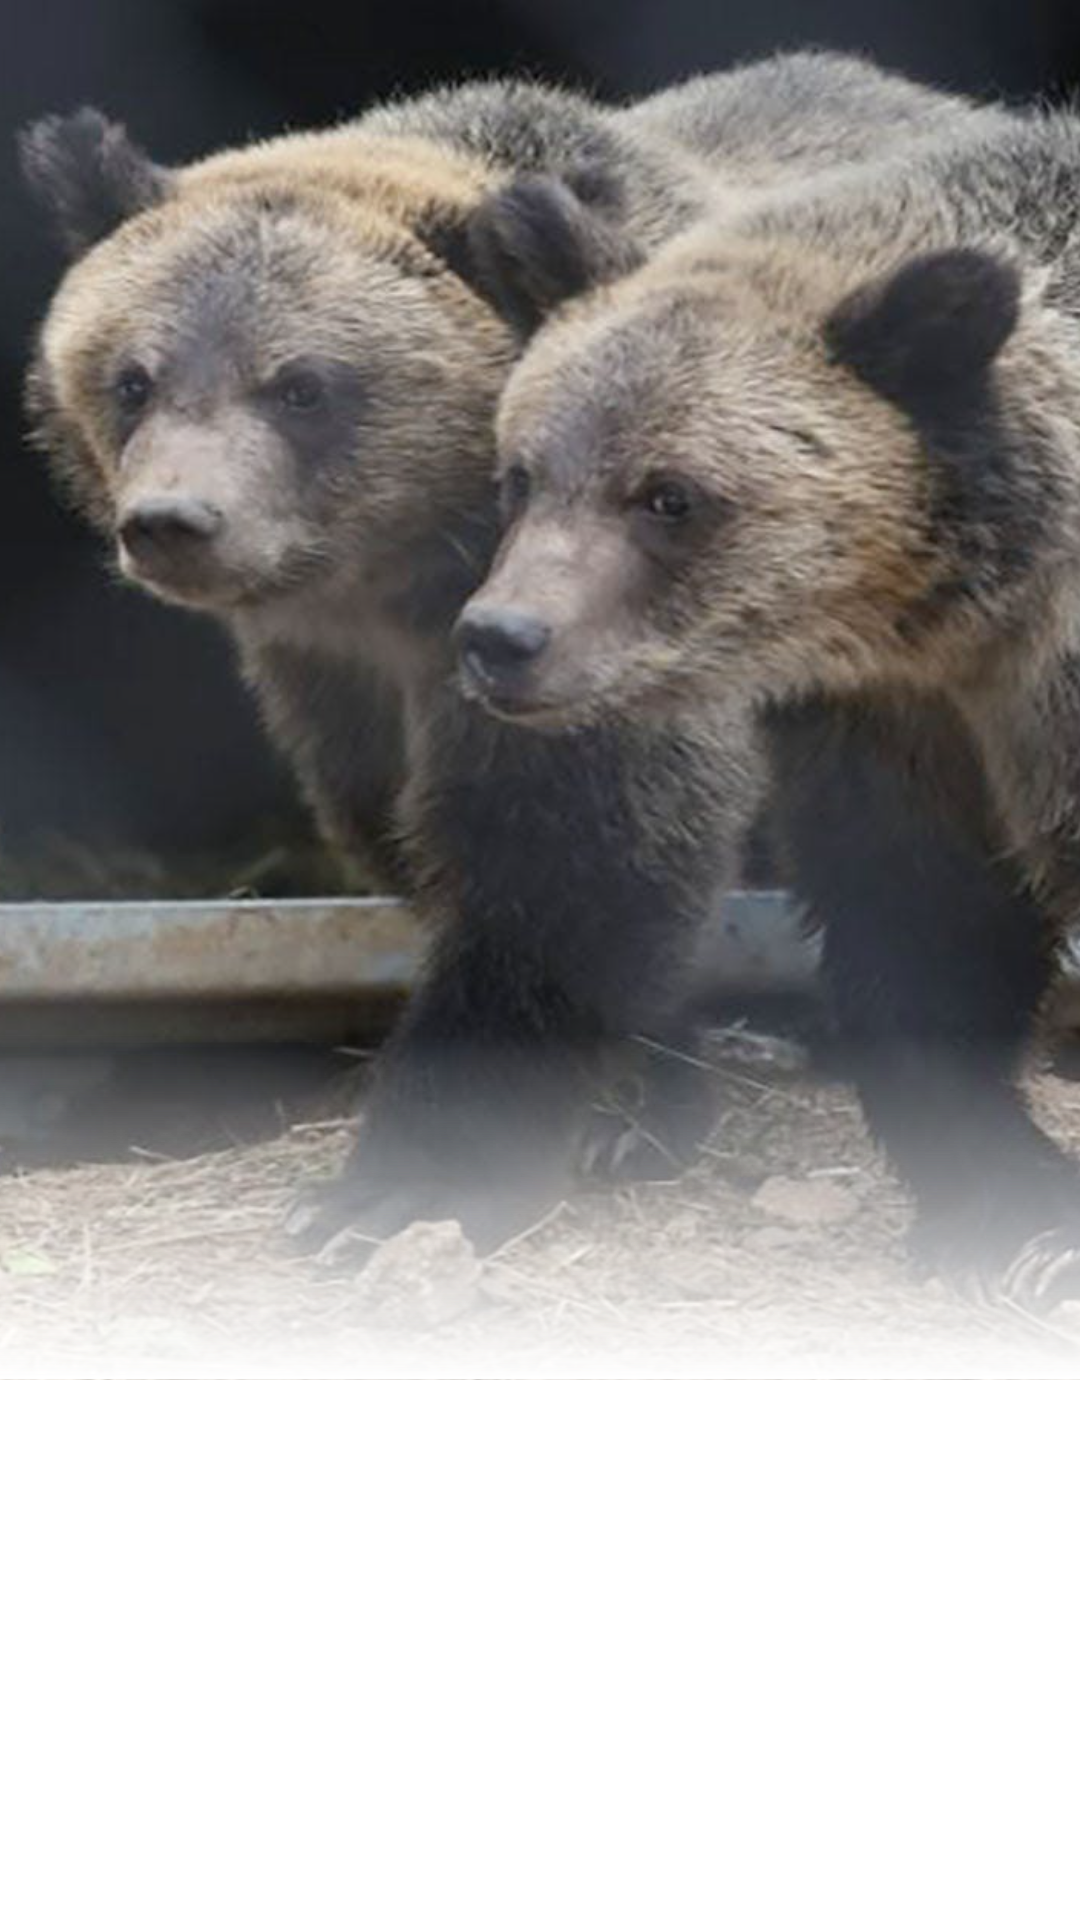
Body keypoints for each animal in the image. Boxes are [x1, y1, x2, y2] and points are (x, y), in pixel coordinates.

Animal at [20, 56, 1010, 1266]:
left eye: (301, 385)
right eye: (133, 377)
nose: (173, 522)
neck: (401, 575)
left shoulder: (594, 621)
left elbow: (565, 861)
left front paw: (400, 1188)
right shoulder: (336, 676)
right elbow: (403, 826)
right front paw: (633, 1100)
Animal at [450, 105, 1080, 1313]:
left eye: (670, 496)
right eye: (521, 473)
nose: (500, 637)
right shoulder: (890, 718)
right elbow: (919, 931)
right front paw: (1005, 1212)